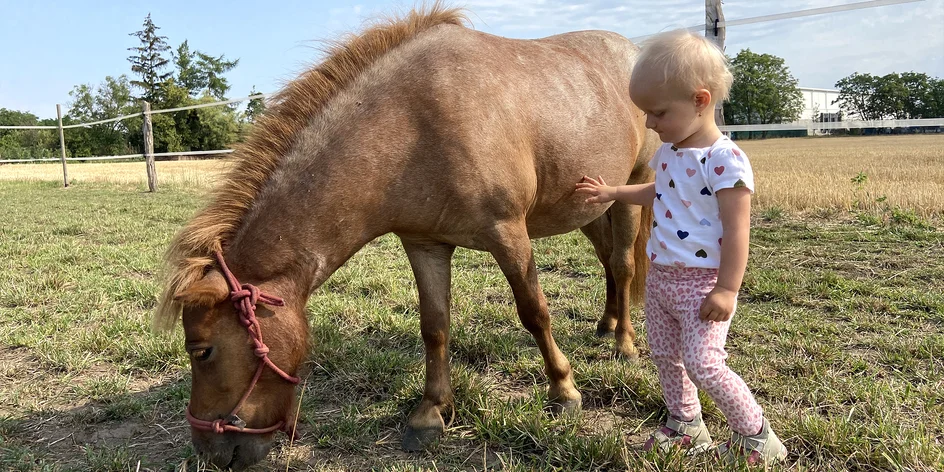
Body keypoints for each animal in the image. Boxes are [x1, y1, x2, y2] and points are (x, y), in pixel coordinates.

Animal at [155, 3, 656, 468]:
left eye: (202, 352)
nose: (208, 452)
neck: (414, 123)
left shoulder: (508, 233)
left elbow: (534, 312)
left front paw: (564, 391)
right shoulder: (424, 243)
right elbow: (434, 326)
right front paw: (431, 413)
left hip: (632, 187)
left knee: (623, 265)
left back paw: (624, 344)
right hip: (589, 207)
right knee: (607, 262)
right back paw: (606, 324)